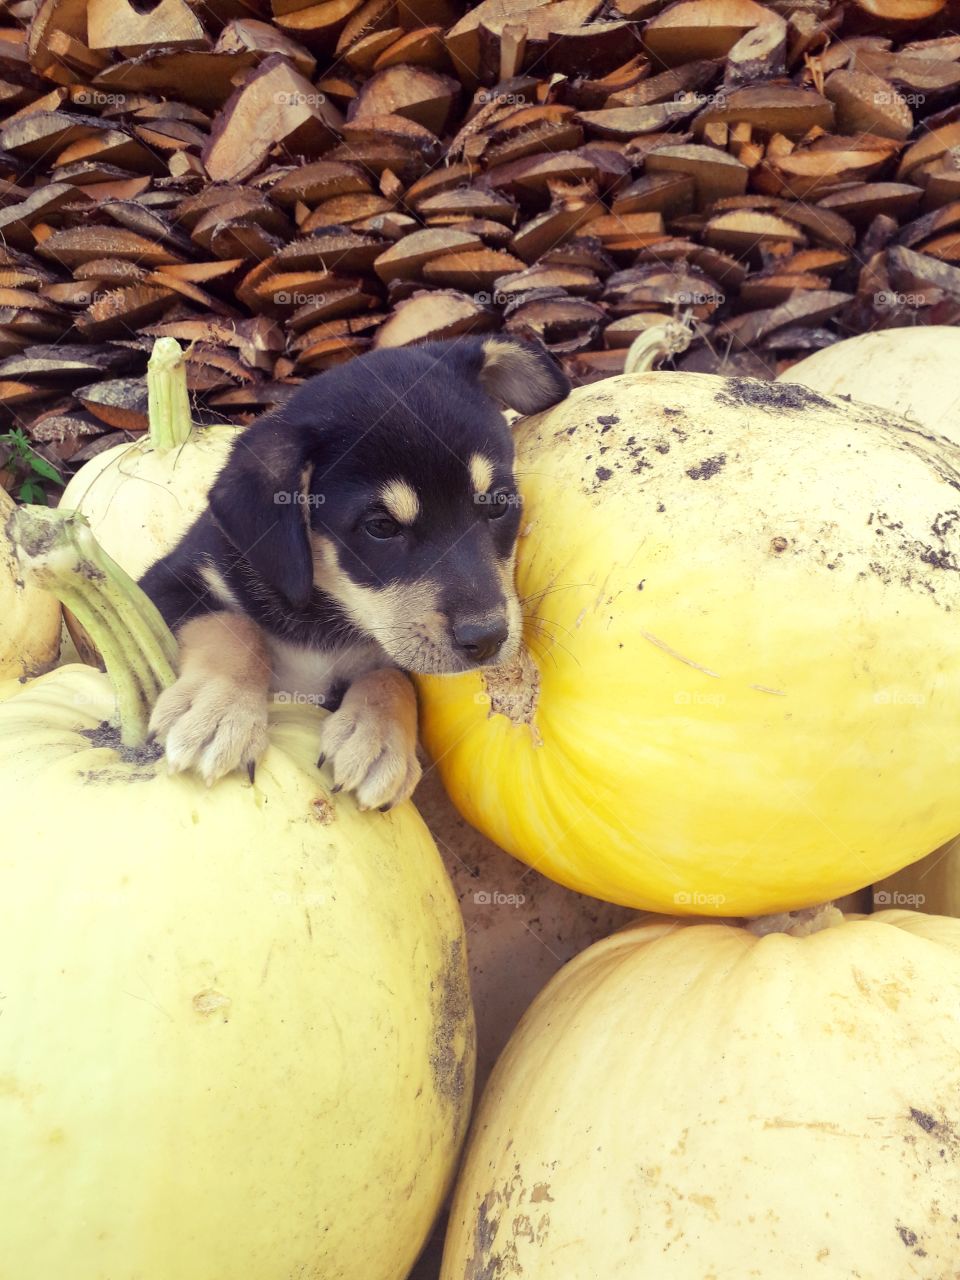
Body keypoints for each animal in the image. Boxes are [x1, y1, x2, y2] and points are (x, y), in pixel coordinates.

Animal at [138, 337, 568, 808]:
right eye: (380, 527)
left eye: (498, 504)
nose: (488, 639)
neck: (320, 613)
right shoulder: (166, 581)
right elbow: (232, 626)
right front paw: (217, 711)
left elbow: (392, 675)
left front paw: (376, 740)